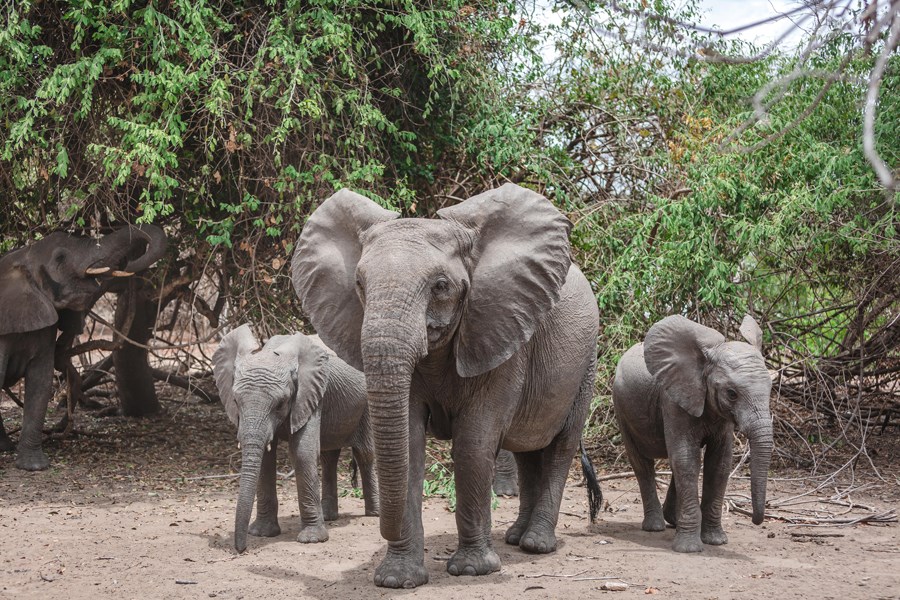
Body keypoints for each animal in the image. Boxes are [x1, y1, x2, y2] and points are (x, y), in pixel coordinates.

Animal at [213, 326, 378, 552]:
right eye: (236, 401)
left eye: (280, 404)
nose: (241, 549)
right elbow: (265, 458)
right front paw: (262, 533)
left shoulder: (311, 393)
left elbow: (302, 453)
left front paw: (312, 540)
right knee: (328, 456)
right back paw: (328, 516)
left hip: (369, 402)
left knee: (365, 454)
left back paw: (374, 514)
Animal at [292, 184, 600, 592]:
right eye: (359, 285)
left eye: (441, 286)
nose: (380, 526)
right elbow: (409, 442)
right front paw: (397, 579)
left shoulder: (498, 327)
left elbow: (473, 444)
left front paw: (472, 571)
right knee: (526, 450)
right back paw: (514, 539)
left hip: (586, 363)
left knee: (560, 445)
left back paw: (536, 545)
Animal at [612, 314, 772, 552]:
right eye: (731, 393)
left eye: (771, 388)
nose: (756, 520)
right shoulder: (672, 399)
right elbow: (687, 459)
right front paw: (689, 549)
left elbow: (719, 464)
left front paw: (716, 541)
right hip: (621, 407)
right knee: (642, 464)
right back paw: (655, 526)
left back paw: (672, 519)